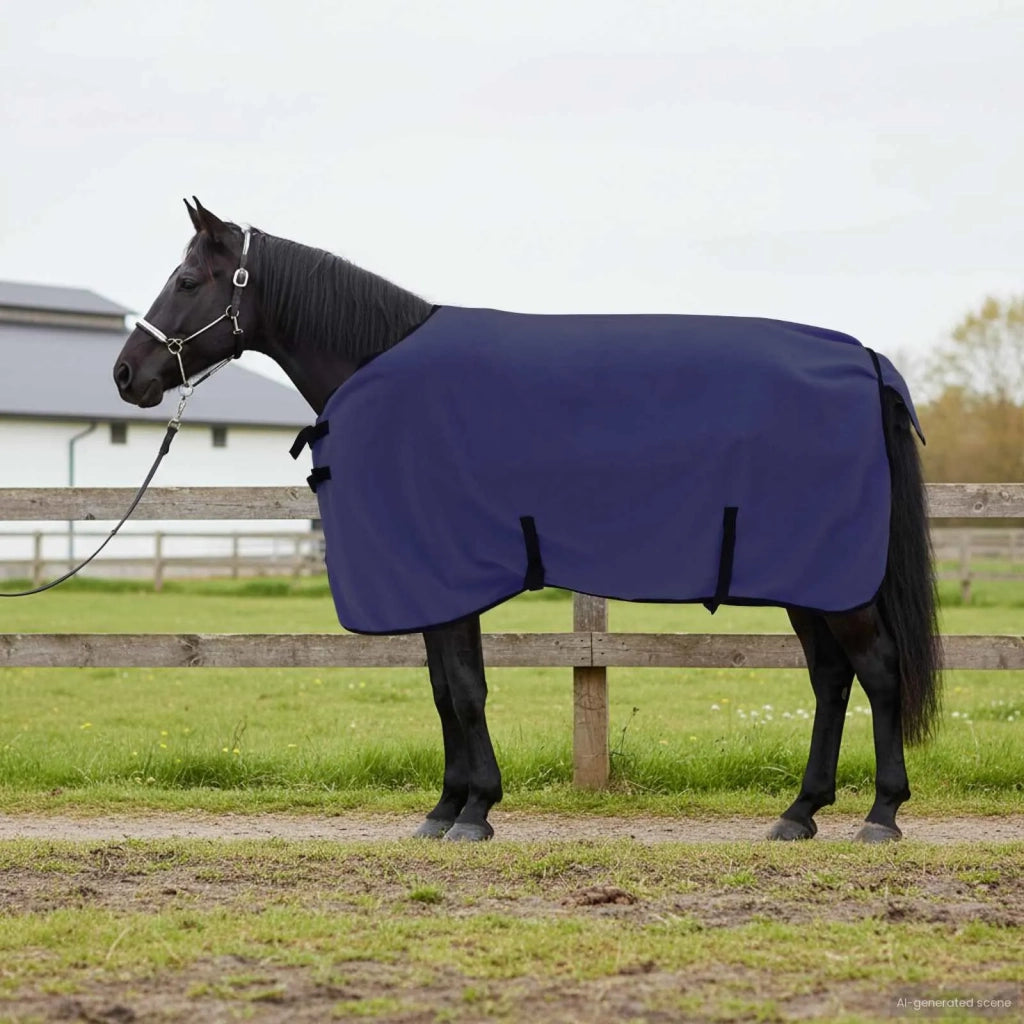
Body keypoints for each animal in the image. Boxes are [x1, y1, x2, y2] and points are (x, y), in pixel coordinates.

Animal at [113, 198, 941, 843]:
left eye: (186, 280)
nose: (126, 374)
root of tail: (864, 361)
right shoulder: (437, 586)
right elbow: (446, 688)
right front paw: (448, 807)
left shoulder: (448, 577)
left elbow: (464, 690)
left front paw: (474, 810)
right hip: (808, 578)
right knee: (831, 678)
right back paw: (800, 813)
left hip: (834, 579)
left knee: (878, 670)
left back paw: (881, 814)